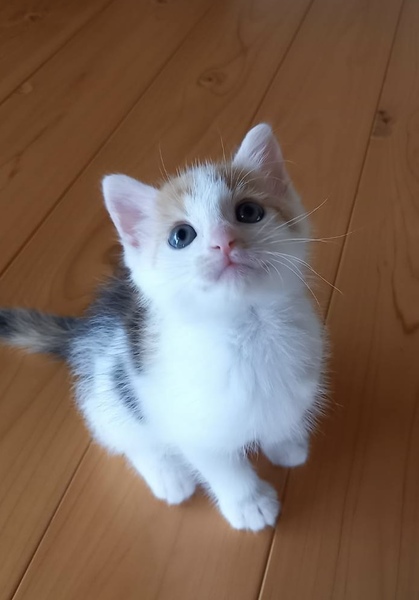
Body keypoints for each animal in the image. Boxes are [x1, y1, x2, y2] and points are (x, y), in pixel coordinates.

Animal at [0, 124, 326, 531]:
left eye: (249, 212)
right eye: (181, 236)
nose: (224, 242)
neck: (246, 329)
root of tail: (86, 329)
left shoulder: (296, 381)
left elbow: (282, 415)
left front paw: (286, 445)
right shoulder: (191, 424)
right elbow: (223, 467)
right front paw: (249, 504)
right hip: (110, 393)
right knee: (126, 436)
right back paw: (168, 475)